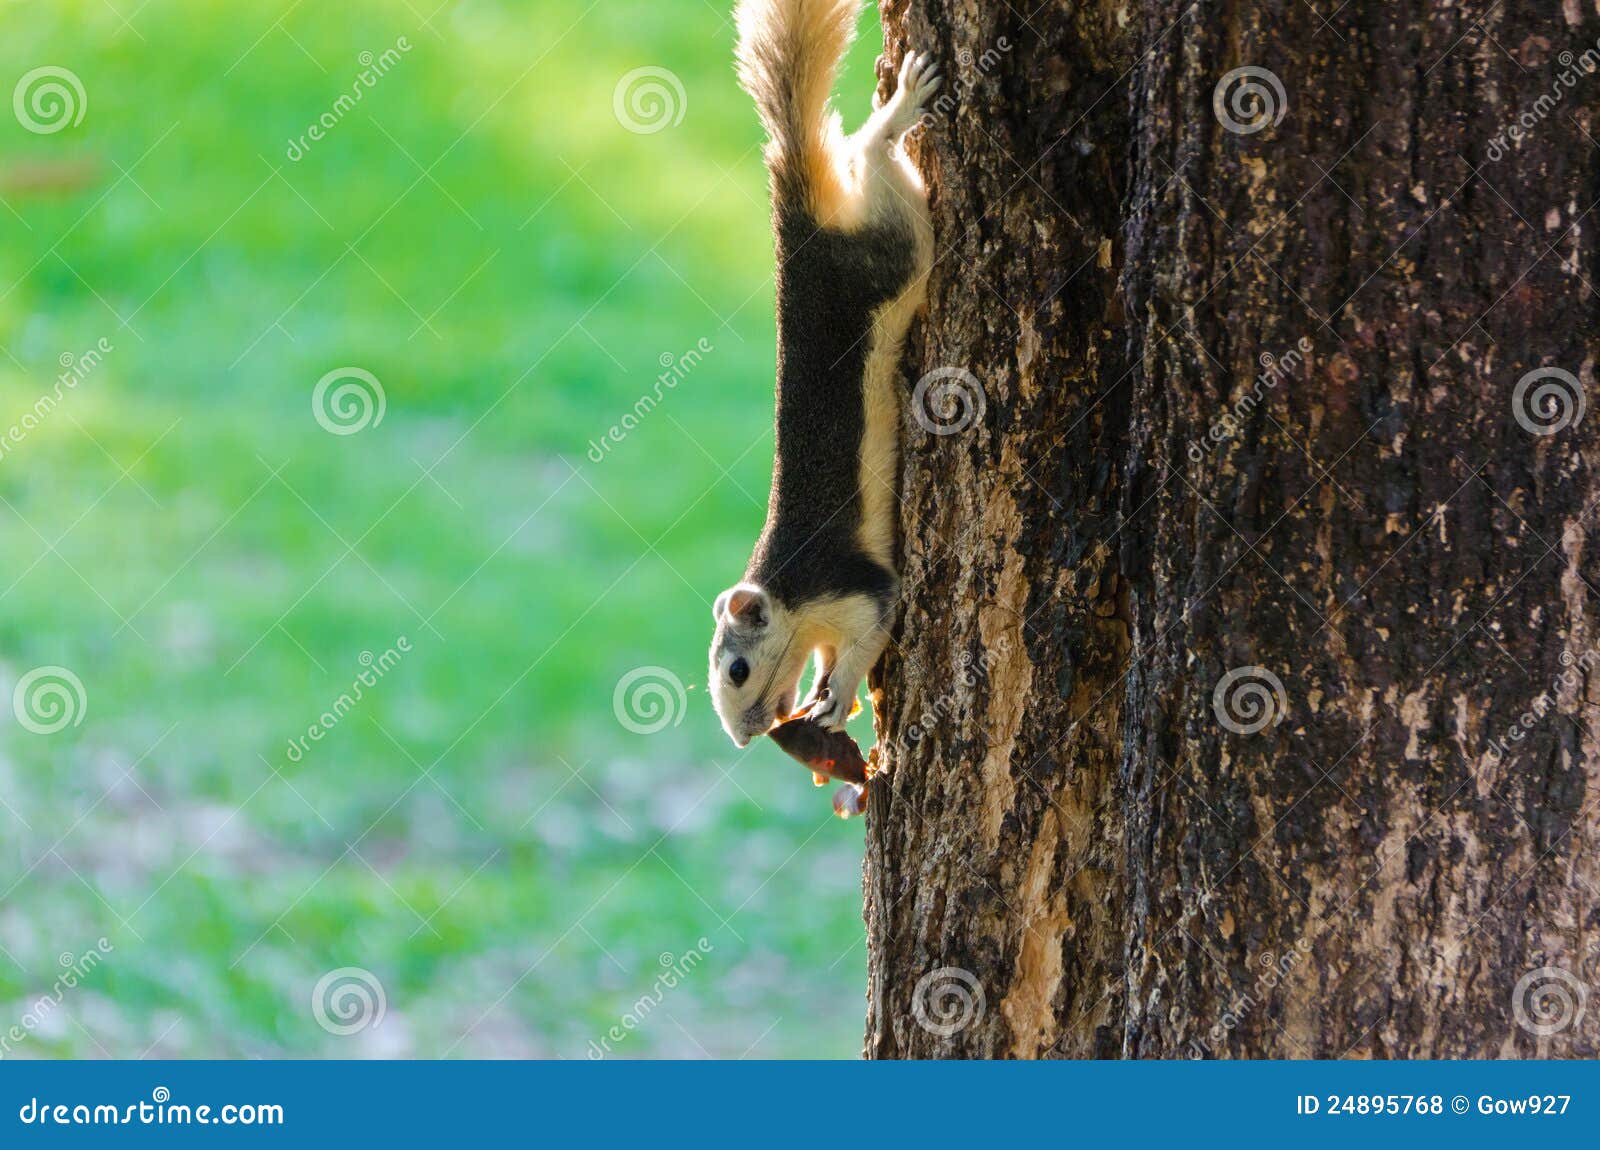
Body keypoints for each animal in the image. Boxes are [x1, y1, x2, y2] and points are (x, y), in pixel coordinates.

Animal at [709, 0, 938, 747]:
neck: (791, 596)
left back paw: (899, 109)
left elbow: (873, 629)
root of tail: (800, 231)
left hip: (893, 250)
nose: (743, 737)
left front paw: (836, 694)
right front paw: (825, 685)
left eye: (738, 670)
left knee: (870, 156)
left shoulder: (848, 588)